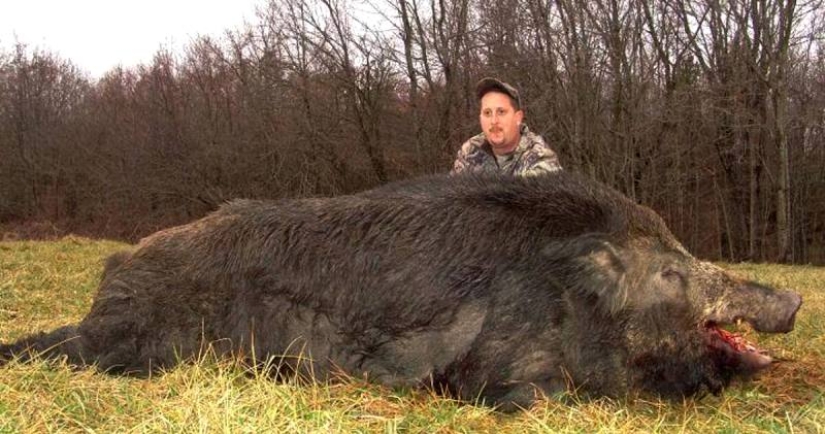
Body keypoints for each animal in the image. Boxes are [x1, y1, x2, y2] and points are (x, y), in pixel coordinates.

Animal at [0, 172, 802, 410]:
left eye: (684, 253)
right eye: (672, 272)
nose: (793, 300)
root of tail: (109, 278)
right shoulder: (495, 365)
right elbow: (534, 398)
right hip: (136, 344)